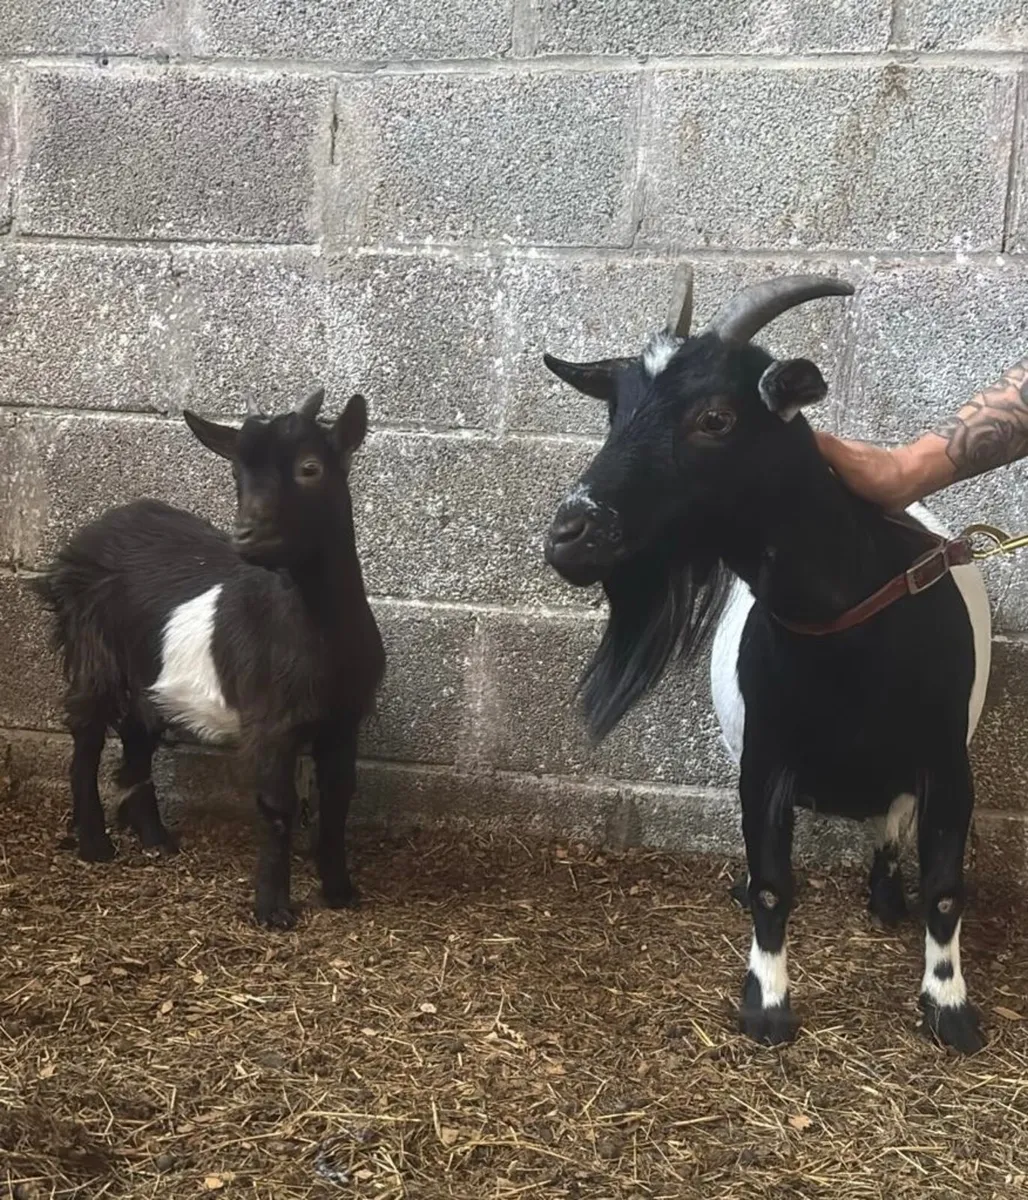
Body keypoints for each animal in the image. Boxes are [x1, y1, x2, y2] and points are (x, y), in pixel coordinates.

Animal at [33, 388, 384, 930]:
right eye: (236, 475)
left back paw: (155, 839)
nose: (246, 536)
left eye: (310, 468)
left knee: (138, 730)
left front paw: (341, 892)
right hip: (92, 646)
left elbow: (339, 798)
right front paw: (272, 911)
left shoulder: (345, 718)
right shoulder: (270, 721)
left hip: (149, 668)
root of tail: (93, 532)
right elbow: (277, 806)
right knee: (88, 733)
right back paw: (96, 844)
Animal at [542, 270, 992, 1055]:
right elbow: (774, 883)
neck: (852, 635)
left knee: (890, 825)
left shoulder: (946, 764)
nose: (570, 532)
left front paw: (949, 1007)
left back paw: (885, 898)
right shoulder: (765, 759)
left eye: (716, 417)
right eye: (615, 413)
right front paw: (768, 1003)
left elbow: (944, 888)